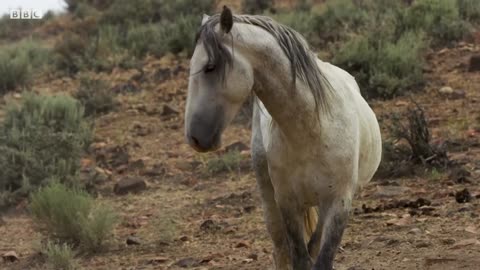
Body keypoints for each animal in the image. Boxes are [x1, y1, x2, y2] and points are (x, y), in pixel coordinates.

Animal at [185, 6, 382, 270]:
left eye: (210, 67)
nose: (194, 137)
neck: (312, 129)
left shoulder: (339, 203)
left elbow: (320, 258)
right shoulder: (287, 203)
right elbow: (298, 258)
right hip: (270, 197)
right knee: (280, 248)